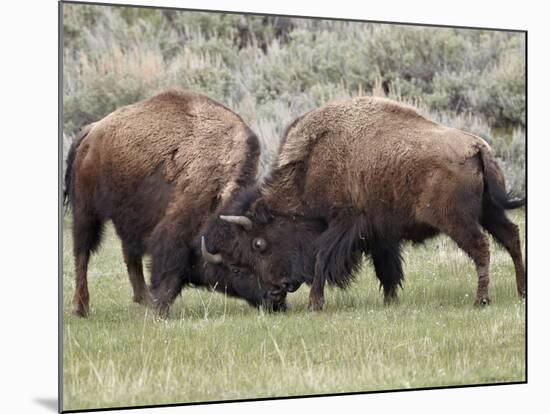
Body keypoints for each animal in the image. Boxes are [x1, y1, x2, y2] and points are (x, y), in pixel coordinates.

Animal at [64, 89, 288, 318]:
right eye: (236, 267)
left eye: (265, 250)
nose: (277, 296)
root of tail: (92, 131)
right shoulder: (175, 228)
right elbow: (168, 269)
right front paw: (160, 309)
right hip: (86, 211)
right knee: (82, 253)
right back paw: (81, 308)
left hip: (125, 216)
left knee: (129, 254)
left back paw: (143, 299)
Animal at [202, 97, 528, 310]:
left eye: (259, 244)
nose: (279, 287)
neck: (310, 167)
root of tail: (477, 146)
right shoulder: (379, 233)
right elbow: (387, 268)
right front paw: (390, 301)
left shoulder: (344, 223)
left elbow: (321, 256)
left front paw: (315, 303)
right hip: (490, 212)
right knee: (511, 237)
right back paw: (521, 292)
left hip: (457, 220)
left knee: (481, 247)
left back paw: (481, 300)